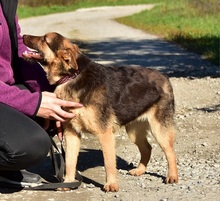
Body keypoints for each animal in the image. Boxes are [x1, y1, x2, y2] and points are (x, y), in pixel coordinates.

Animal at [22, 32, 178, 192]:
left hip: (159, 130)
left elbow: (109, 162)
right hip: (134, 131)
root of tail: (165, 77)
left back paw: (172, 176)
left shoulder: (105, 134)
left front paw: (111, 184)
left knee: (171, 153)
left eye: (44, 39)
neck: (72, 75)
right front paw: (68, 182)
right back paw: (140, 170)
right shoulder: (71, 133)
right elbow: (70, 162)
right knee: (147, 148)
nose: (23, 35)